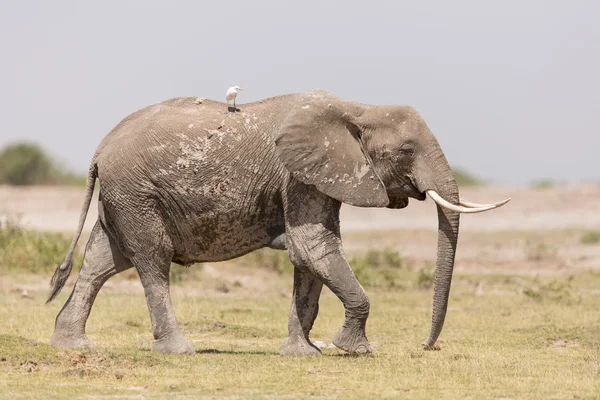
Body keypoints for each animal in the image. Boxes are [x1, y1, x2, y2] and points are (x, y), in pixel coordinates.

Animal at [45, 89, 510, 354]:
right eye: (407, 150)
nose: (425, 346)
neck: (358, 109)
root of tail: (100, 149)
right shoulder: (297, 173)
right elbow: (314, 246)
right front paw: (354, 350)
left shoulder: (316, 174)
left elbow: (310, 256)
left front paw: (302, 354)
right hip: (137, 194)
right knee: (152, 261)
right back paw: (179, 350)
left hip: (124, 197)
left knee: (103, 261)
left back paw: (72, 345)